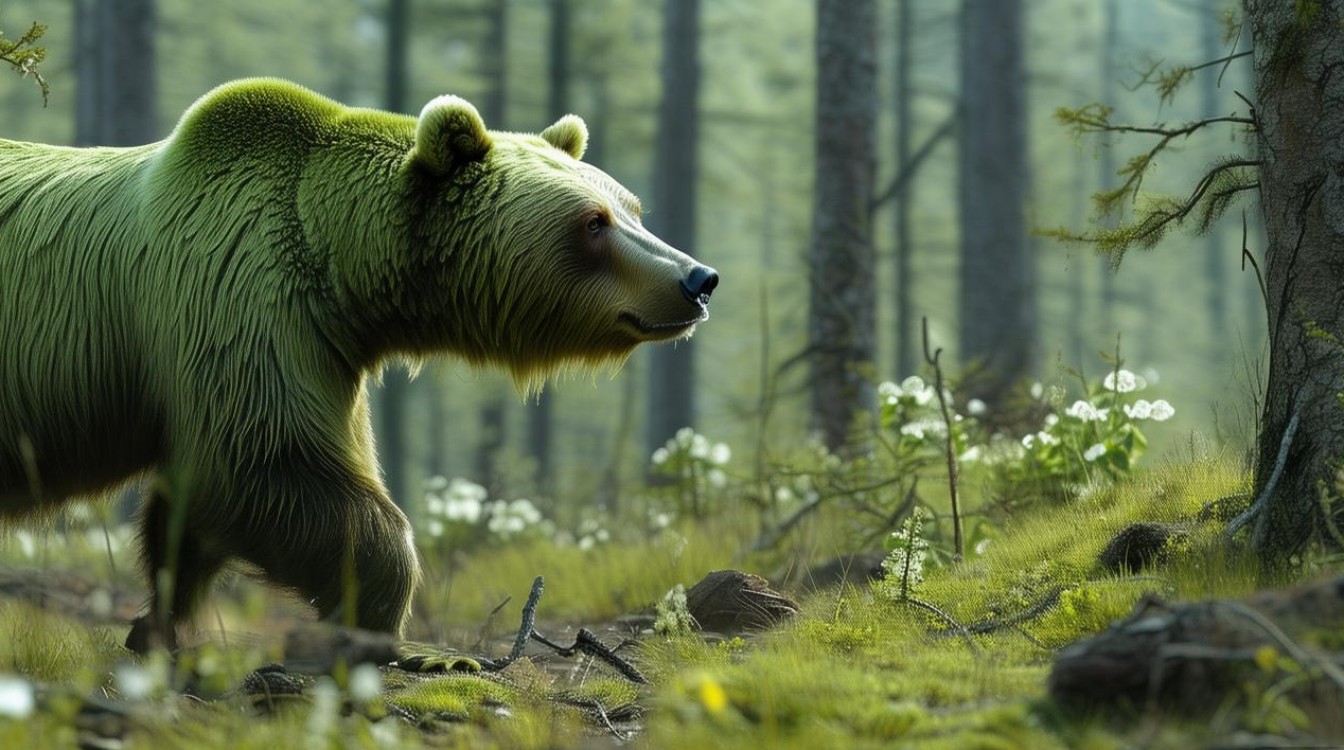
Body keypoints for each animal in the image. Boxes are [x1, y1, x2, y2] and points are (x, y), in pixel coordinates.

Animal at [0, 78, 718, 652]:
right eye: (592, 222)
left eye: (633, 209)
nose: (697, 279)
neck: (339, 269)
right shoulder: (242, 302)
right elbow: (266, 463)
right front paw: (389, 630)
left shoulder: (321, 351)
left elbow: (192, 511)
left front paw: (159, 623)